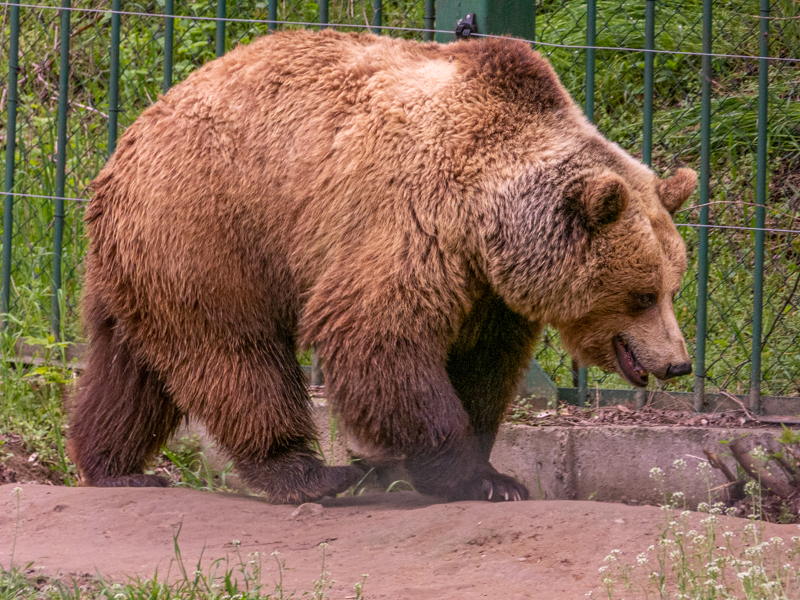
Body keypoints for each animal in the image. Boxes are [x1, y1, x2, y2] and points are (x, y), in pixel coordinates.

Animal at [67, 29, 696, 503]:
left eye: (673, 287)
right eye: (642, 294)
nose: (679, 364)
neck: (489, 212)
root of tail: (129, 138)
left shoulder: (489, 289)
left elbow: (483, 365)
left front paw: (494, 473)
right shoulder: (411, 219)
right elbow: (377, 332)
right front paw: (464, 474)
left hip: (140, 263)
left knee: (127, 368)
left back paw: (113, 466)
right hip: (212, 229)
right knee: (236, 355)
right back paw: (310, 473)